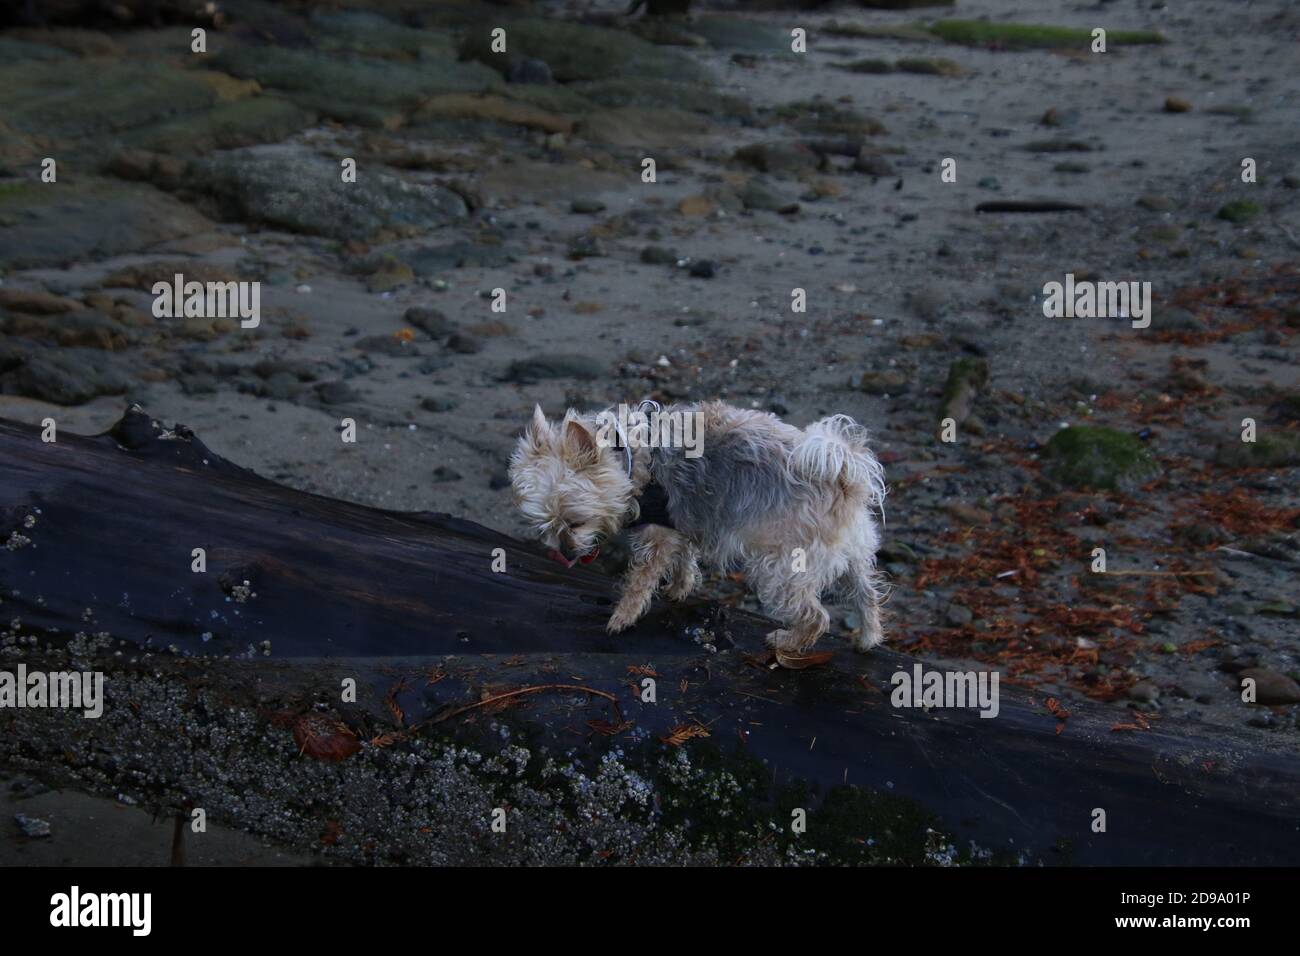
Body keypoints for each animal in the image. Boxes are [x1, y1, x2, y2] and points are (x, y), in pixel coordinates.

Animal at [504, 400, 883, 660]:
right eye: (547, 526)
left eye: (575, 522)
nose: (565, 554)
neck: (629, 455)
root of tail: (844, 479)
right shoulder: (680, 526)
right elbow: (684, 559)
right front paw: (679, 588)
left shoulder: (658, 536)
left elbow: (640, 580)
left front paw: (623, 616)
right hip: (851, 556)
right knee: (866, 594)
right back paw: (868, 638)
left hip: (782, 567)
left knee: (818, 616)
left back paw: (788, 642)